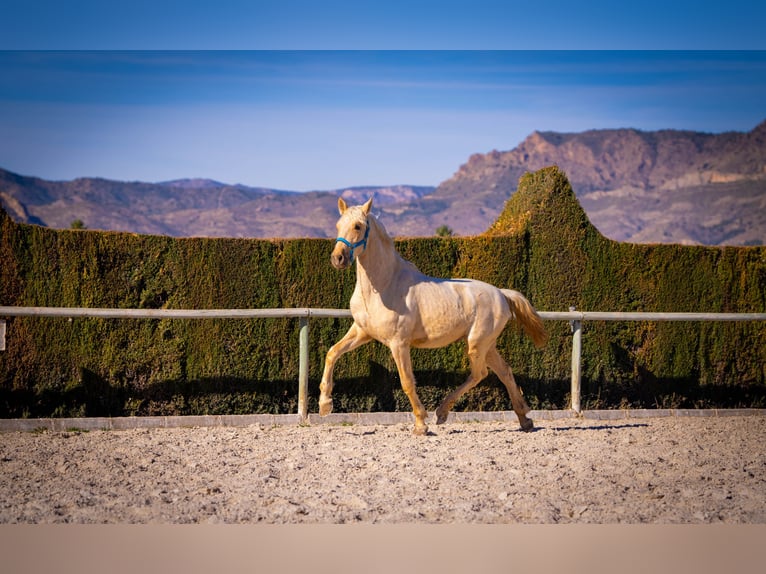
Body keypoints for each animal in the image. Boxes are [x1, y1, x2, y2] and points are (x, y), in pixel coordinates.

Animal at [320, 198, 548, 436]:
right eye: (338, 225)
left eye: (358, 226)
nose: (338, 258)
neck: (383, 286)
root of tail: (502, 293)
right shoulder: (361, 332)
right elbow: (332, 353)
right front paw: (325, 405)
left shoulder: (398, 343)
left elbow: (407, 381)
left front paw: (421, 424)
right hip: (488, 345)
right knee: (504, 371)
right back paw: (525, 420)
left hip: (477, 344)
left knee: (479, 374)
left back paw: (442, 412)